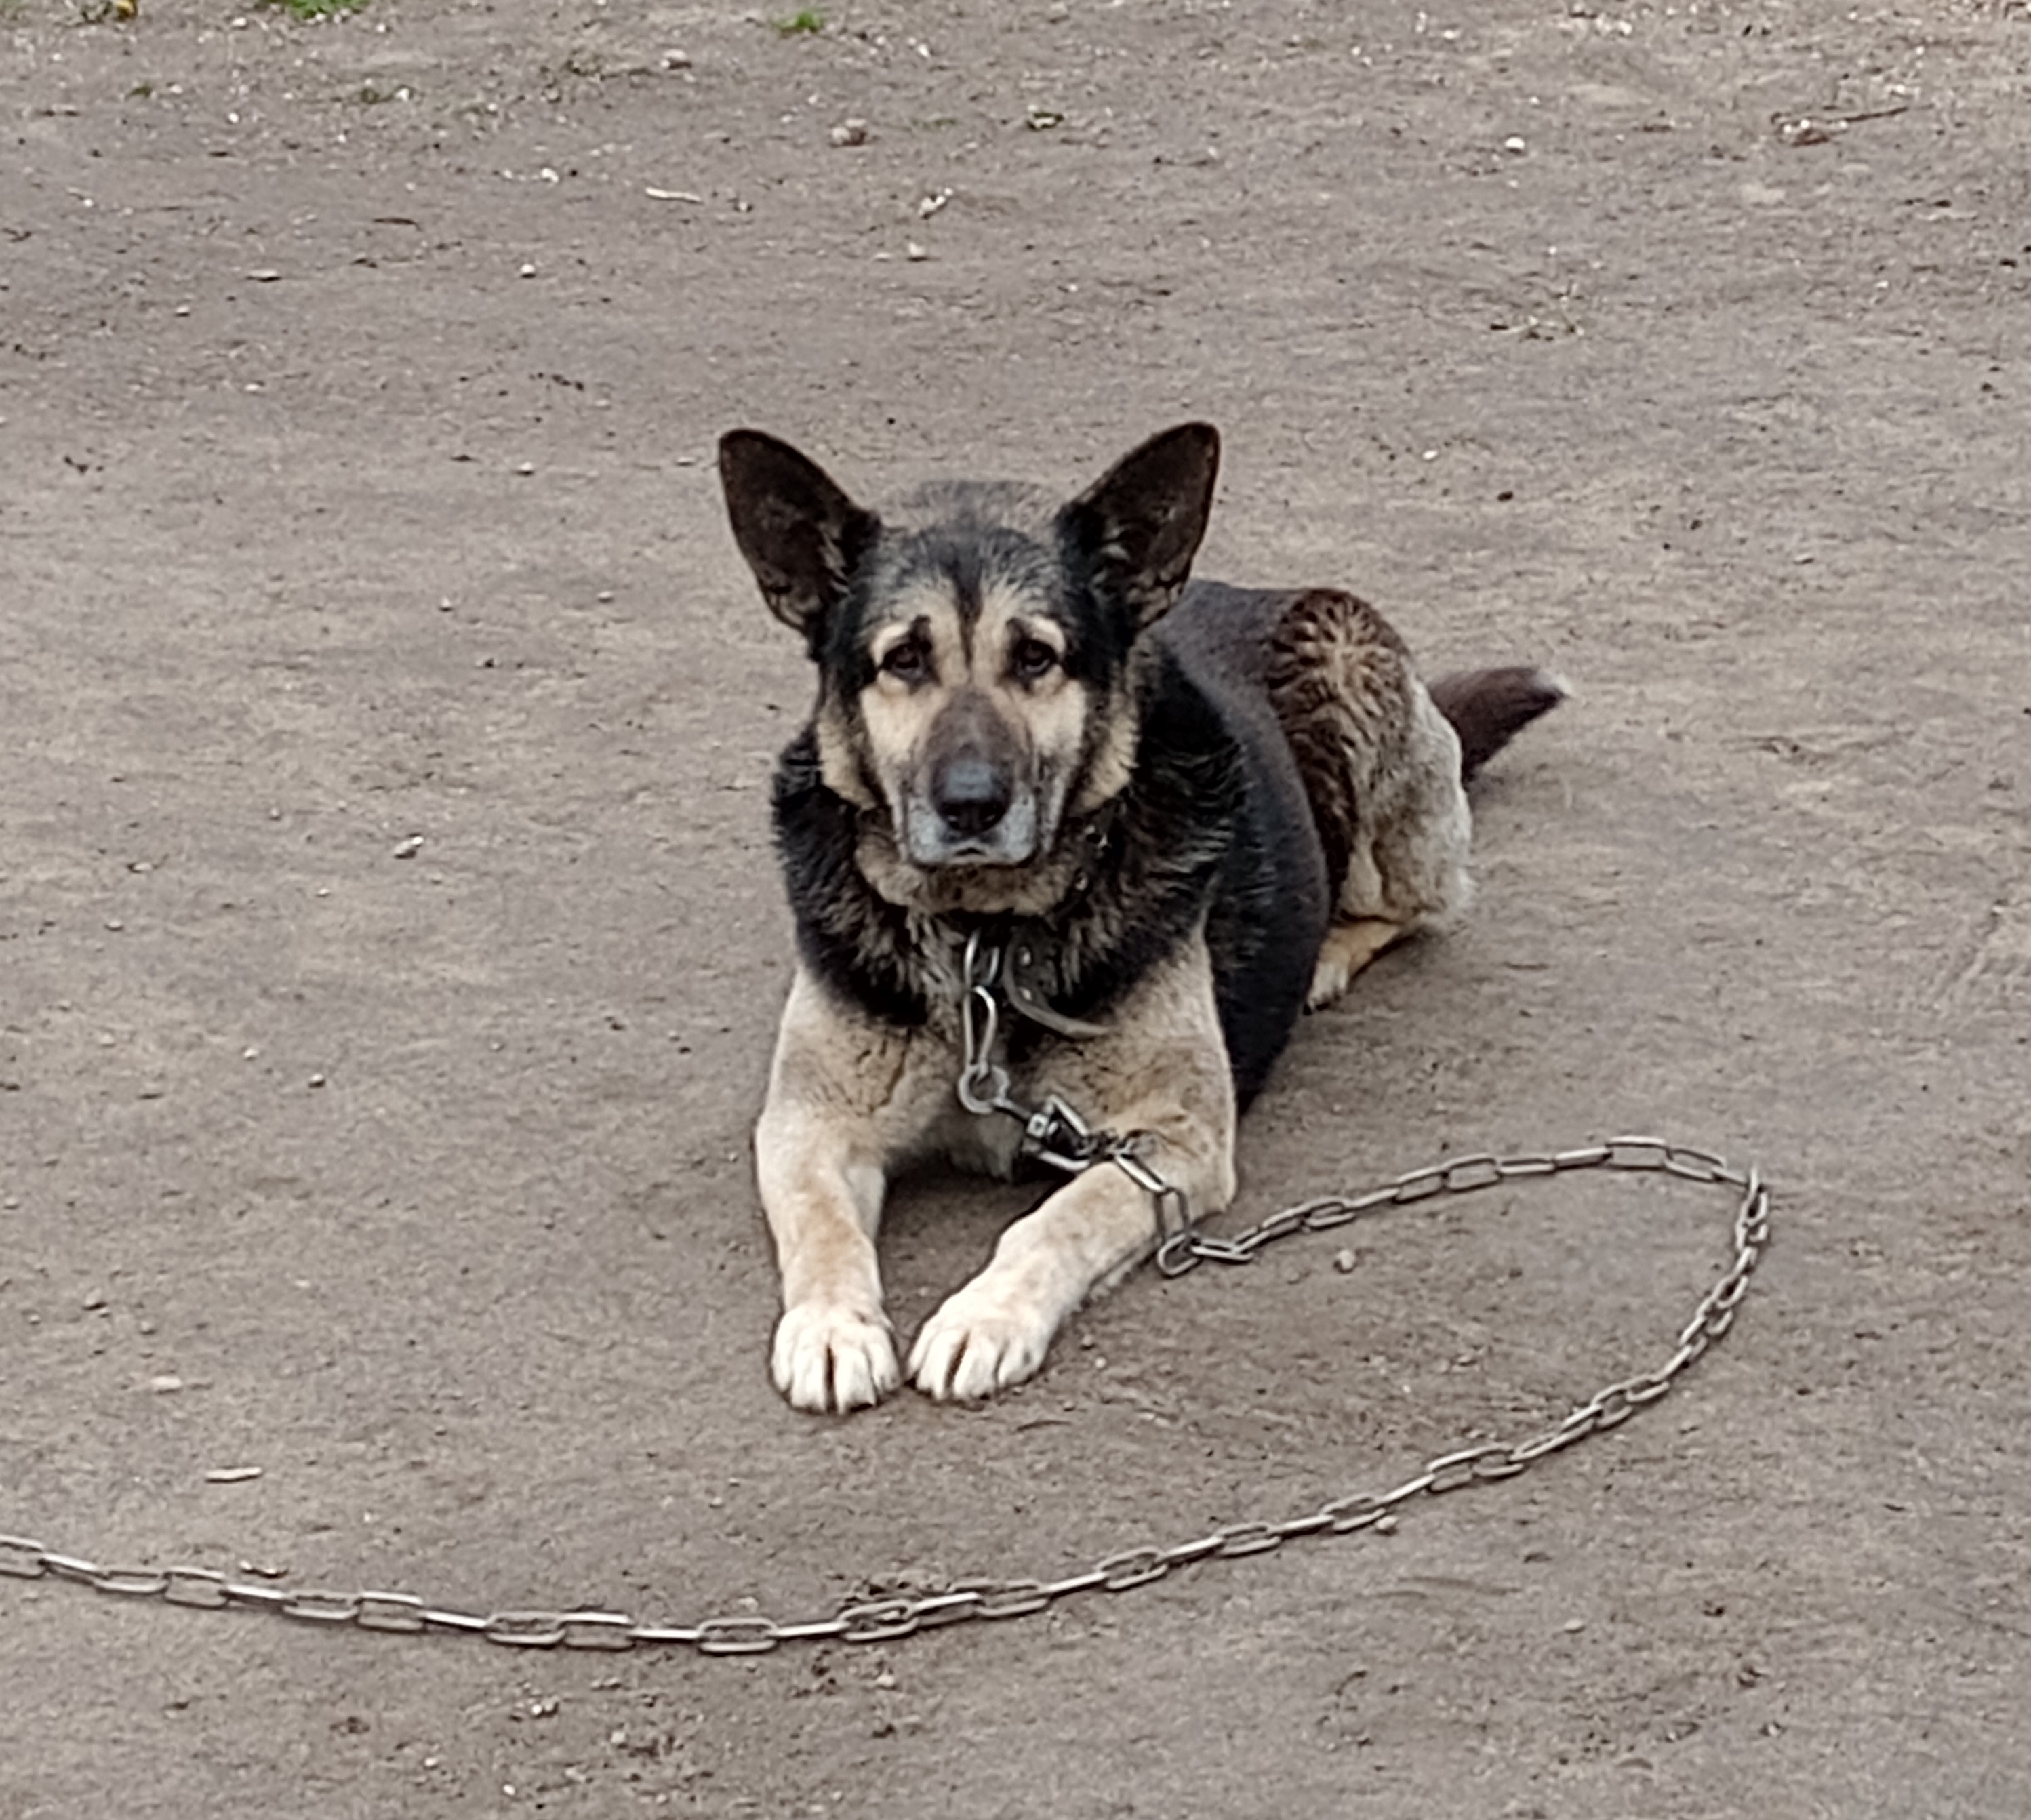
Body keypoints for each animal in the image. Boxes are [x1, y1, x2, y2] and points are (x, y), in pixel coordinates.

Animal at [715, 418, 1551, 1413]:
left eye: (1036, 657)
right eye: (903, 660)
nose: (971, 806)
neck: (985, 940)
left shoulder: (1171, 1143)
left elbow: (1056, 1219)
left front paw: (984, 1316)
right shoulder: (807, 1124)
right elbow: (822, 1225)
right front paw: (833, 1324)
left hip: (1344, 655)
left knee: (1410, 901)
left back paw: (1329, 950)